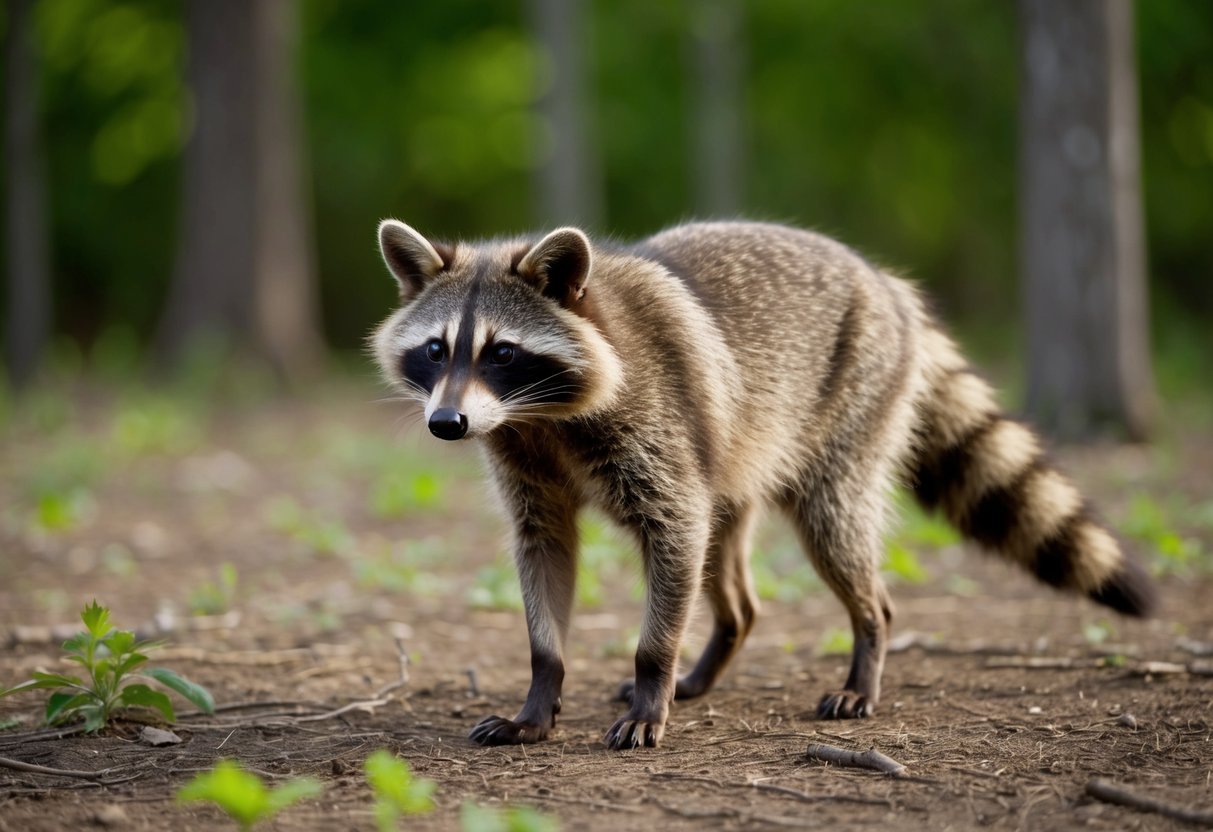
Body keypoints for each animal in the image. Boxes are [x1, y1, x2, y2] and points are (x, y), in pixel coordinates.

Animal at [371, 219, 1156, 750]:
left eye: (502, 353)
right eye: (437, 349)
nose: (446, 422)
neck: (538, 419)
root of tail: (885, 283)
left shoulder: (656, 432)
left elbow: (673, 533)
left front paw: (653, 676)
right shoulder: (528, 469)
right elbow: (545, 558)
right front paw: (539, 694)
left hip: (852, 409)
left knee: (835, 536)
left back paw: (865, 645)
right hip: (736, 456)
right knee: (726, 572)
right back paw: (708, 660)